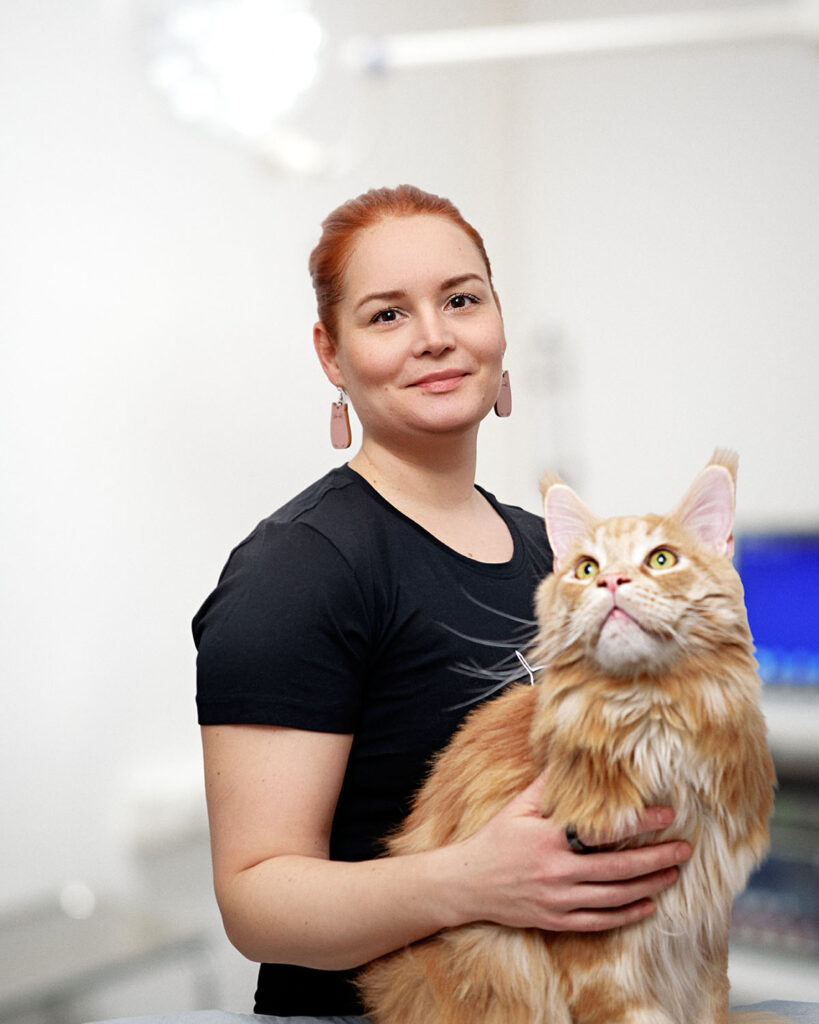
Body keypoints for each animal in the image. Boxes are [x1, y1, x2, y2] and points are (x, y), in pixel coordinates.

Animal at [359, 451, 780, 1024]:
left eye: (661, 559)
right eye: (586, 569)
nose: (613, 582)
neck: (654, 723)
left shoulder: (706, 938)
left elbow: (712, 1007)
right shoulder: (602, 954)